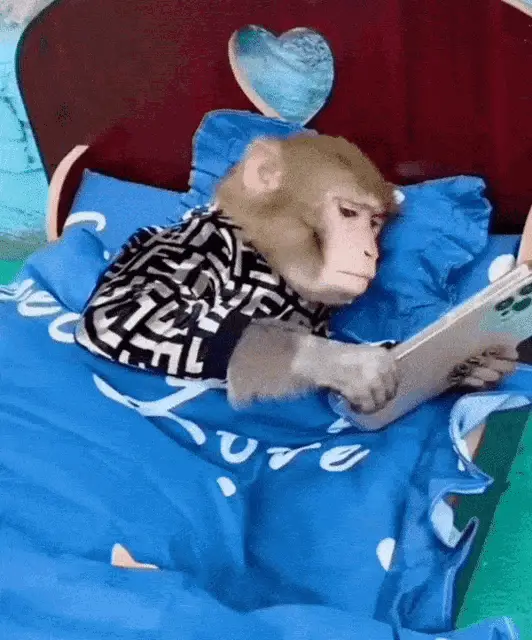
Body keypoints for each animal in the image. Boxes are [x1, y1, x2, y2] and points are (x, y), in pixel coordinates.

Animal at [74, 134, 517, 423]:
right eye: (348, 214)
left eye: (374, 222)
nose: (370, 252)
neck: (270, 259)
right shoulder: (197, 243)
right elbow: (125, 307)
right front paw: (341, 363)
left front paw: (480, 365)